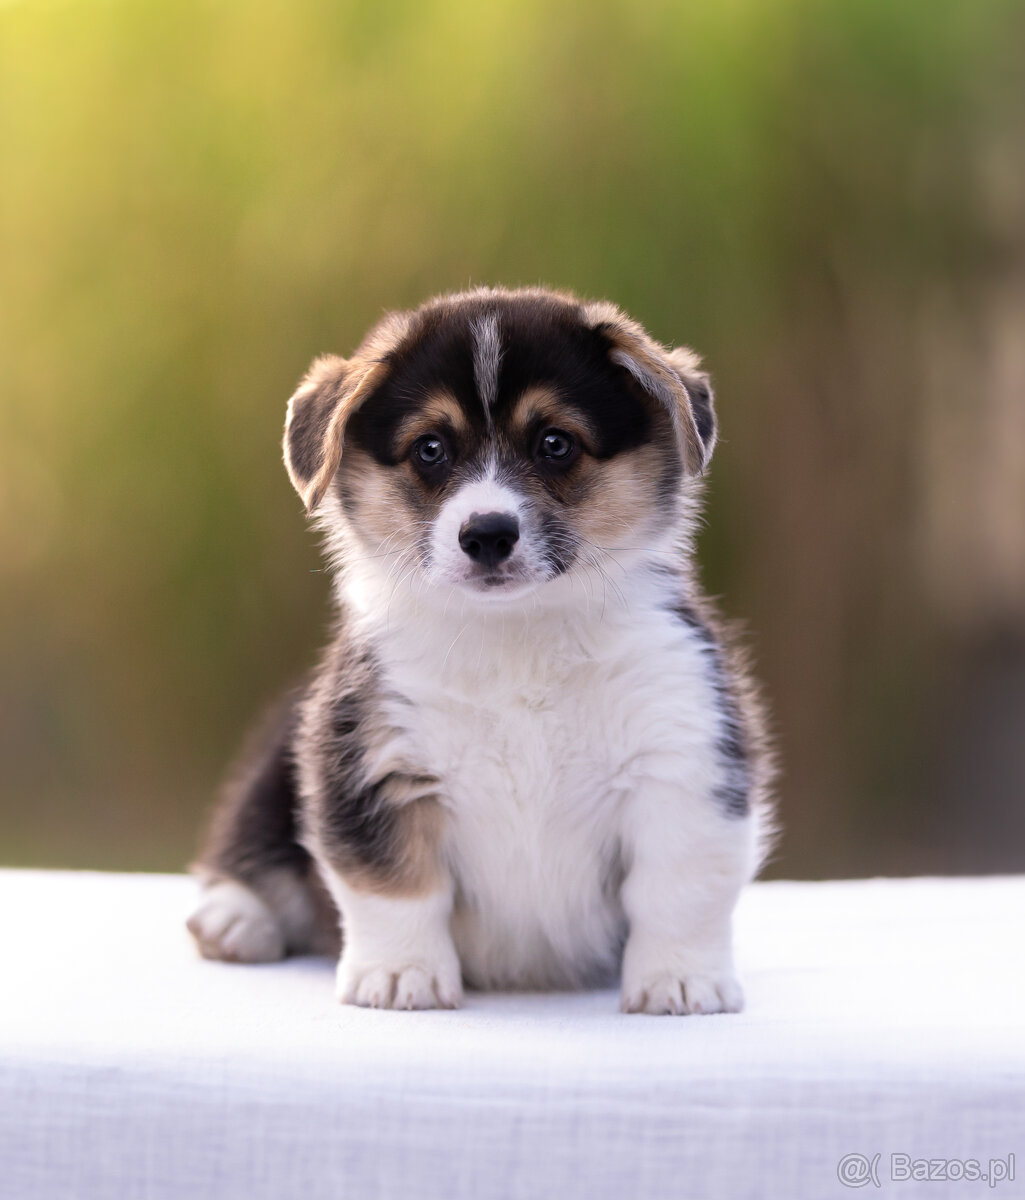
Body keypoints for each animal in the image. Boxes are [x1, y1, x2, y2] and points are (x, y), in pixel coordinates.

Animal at [188, 288, 772, 1012]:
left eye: (555, 443)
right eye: (430, 449)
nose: (487, 533)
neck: (513, 634)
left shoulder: (683, 757)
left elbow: (681, 887)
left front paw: (680, 980)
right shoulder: (373, 761)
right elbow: (393, 886)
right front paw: (400, 975)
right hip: (277, 760)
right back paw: (233, 918)